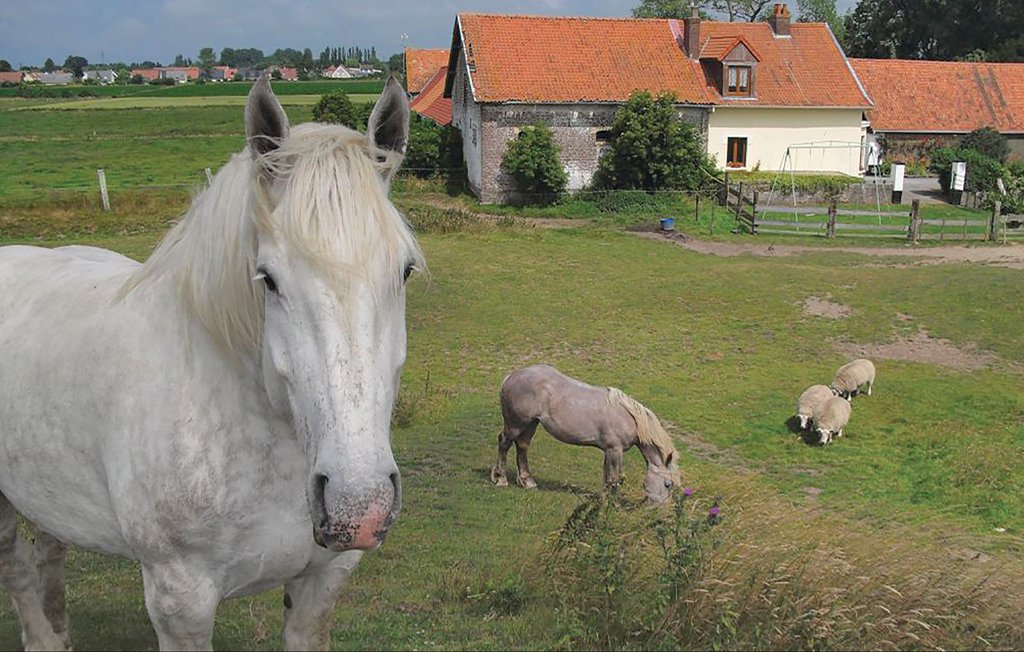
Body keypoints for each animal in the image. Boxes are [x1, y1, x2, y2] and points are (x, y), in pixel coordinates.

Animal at [0, 77, 423, 650]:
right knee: (17, 569)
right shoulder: (181, 603)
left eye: (404, 271)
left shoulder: (320, 584)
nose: (359, 505)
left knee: (48, 551)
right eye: (268, 279)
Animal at [489, 366, 679, 503]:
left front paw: (603, 500)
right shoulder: (615, 450)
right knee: (504, 443)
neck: (630, 418)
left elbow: (606, 477)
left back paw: (527, 482)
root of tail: (511, 376)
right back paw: (501, 479)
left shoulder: (608, 451)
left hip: (530, 424)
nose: (661, 509)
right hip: (516, 423)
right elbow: (615, 478)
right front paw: (613, 503)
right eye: (667, 484)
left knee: (522, 446)